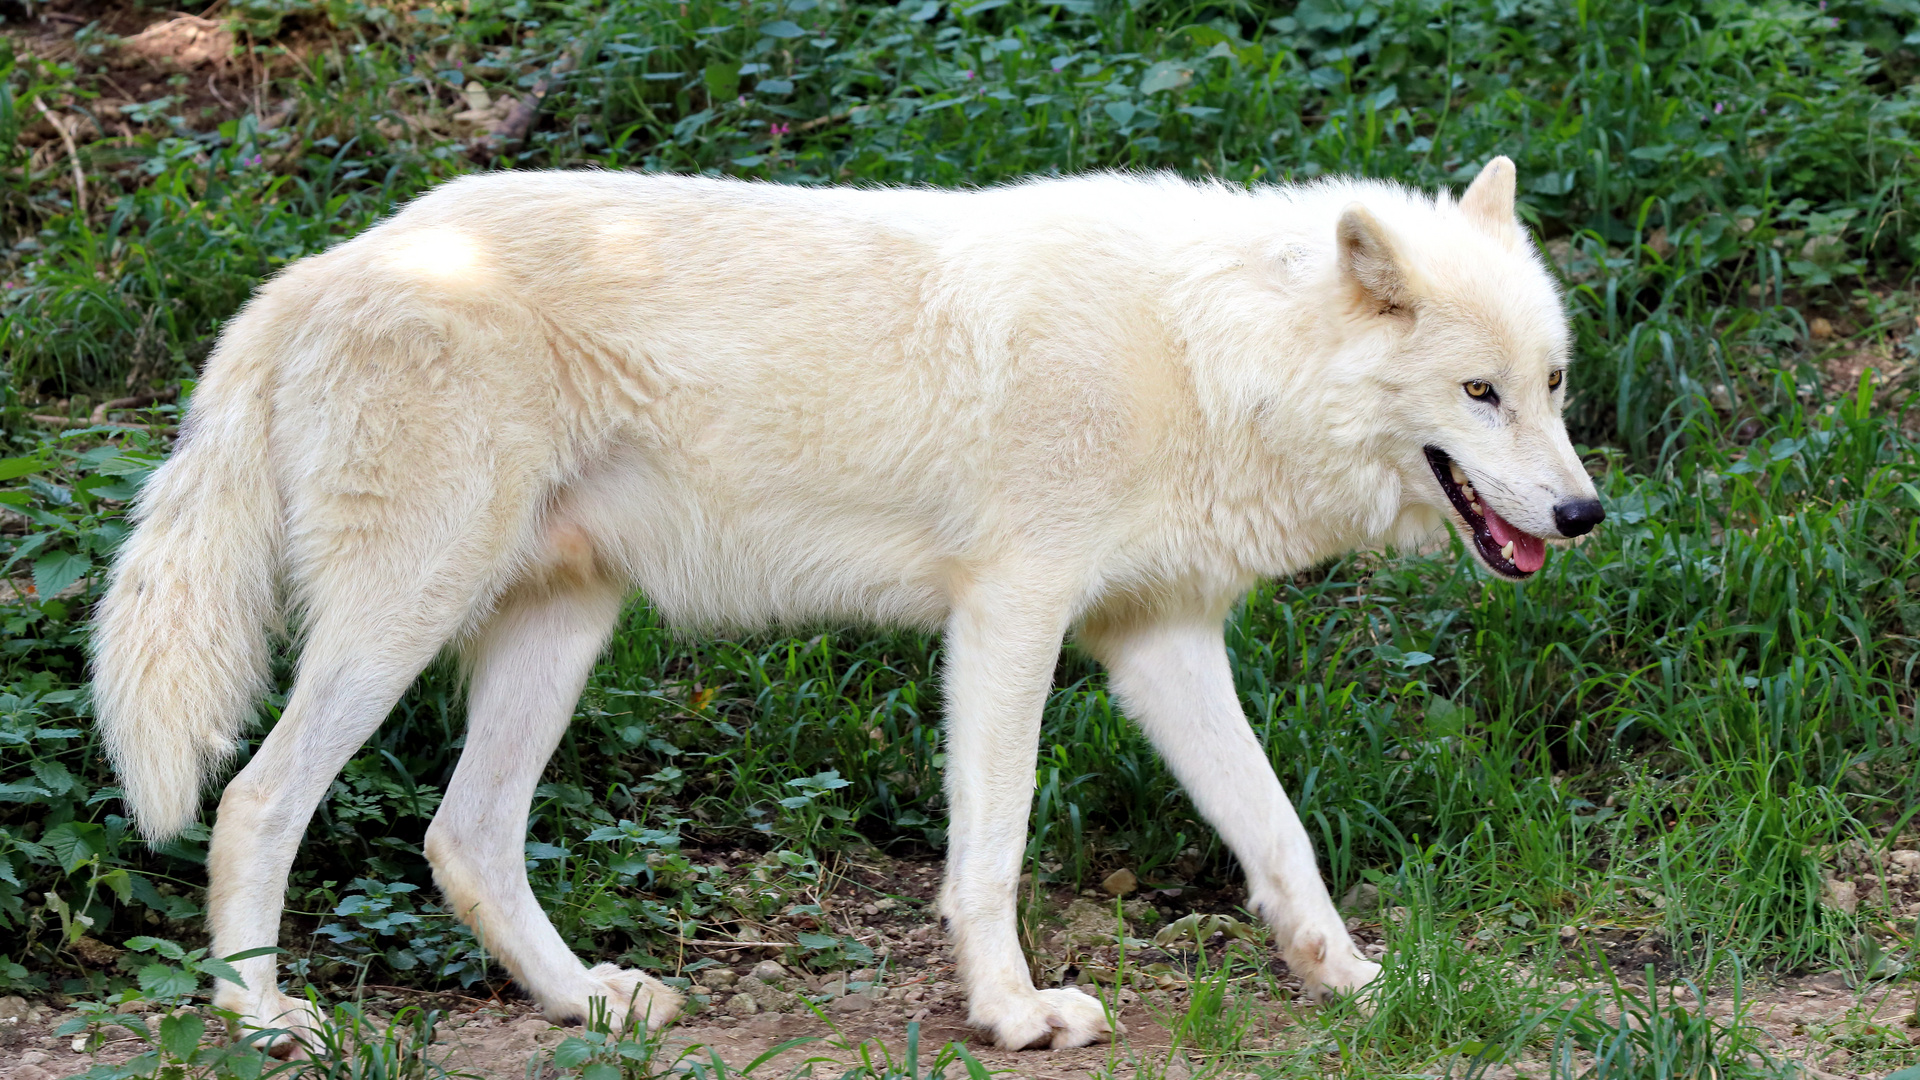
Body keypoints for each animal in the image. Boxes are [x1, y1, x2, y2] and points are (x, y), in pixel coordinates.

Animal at [90, 159, 1597, 1053]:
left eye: (1554, 383)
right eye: (1478, 394)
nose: (1584, 515)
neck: (1207, 359)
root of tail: (324, 265)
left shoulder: (1159, 642)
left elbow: (1278, 830)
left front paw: (1352, 981)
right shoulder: (1008, 619)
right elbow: (994, 850)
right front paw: (1013, 1015)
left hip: (558, 631)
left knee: (464, 841)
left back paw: (591, 1002)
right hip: (404, 619)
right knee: (257, 801)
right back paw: (258, 1015)